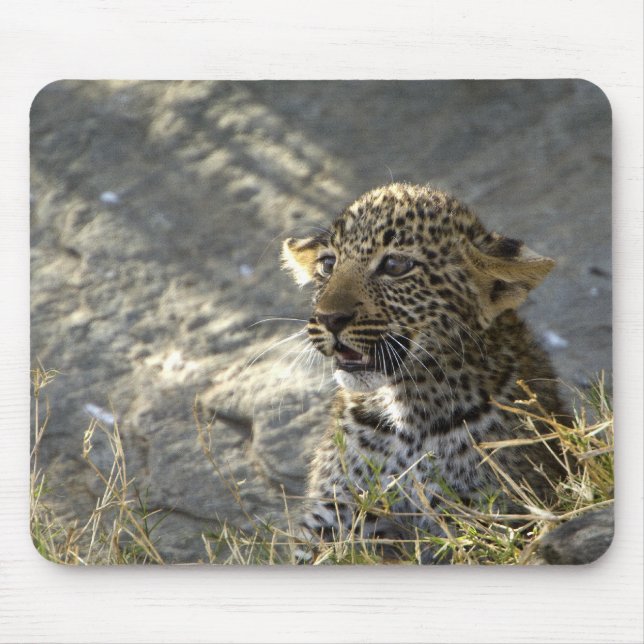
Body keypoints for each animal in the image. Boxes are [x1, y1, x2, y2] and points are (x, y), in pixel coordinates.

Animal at [281, 183, 566, 562]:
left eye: (395, 265)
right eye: (328, 264)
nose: (330, 318)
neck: (408, 418)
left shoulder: (484, 517)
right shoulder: (331, 517)